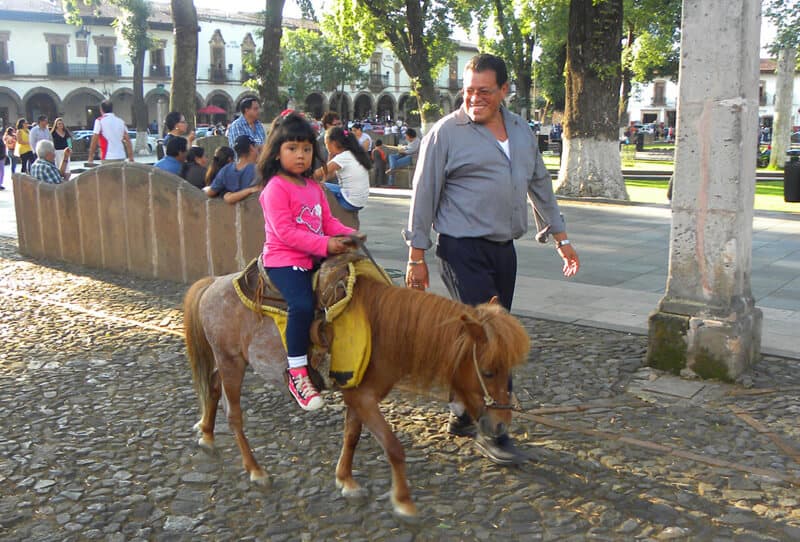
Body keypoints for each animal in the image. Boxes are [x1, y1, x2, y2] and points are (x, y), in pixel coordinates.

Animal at [183, 268, 532, 520]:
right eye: (488, 371)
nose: (501, 424)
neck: (381, 330)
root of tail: (214, 282)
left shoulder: (358, 396)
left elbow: (351, 436)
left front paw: (346, 482)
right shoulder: (364, 399)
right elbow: (393, 447)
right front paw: (403, 501)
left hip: (229, 362)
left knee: (212, 387)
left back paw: (207, 434)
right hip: (231, 362)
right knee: (235, 416)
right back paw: (256, 471)